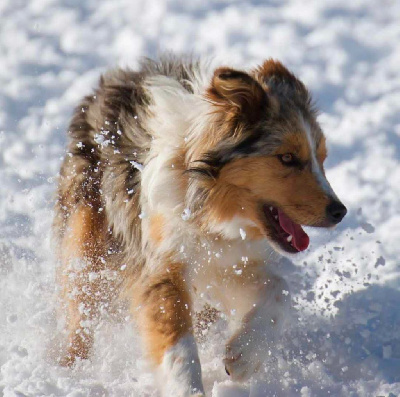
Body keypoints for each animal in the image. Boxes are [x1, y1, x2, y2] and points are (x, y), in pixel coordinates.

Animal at [54, 54, 346, 394]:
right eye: (286, 157)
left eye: (322, 158)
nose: (340, 211)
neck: (210, 211)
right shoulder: (163, 264)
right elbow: (177, 345)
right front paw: (188, 389)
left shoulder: (229, 262)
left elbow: (279, 290)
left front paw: (243, 357)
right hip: (88, 244)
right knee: (80, 311)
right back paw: (70, 368)